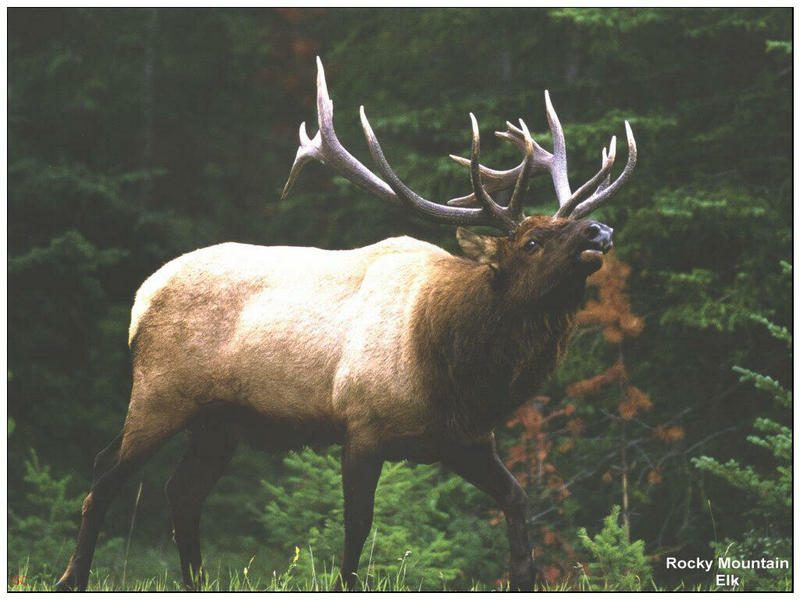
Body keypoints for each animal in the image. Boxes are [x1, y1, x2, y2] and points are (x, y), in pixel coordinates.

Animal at [54, 56, 636, 592]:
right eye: (533, 241)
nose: (600, 230)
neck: (454, 366)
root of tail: (141, 299)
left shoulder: (466, 440)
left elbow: (517, 500)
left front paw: (524, 578)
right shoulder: (363, 425)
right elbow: (357, 527)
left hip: (219, 421)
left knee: (182, 490)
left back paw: (194, 581)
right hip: (161, 393)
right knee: (105, 472)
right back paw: (71, 579)